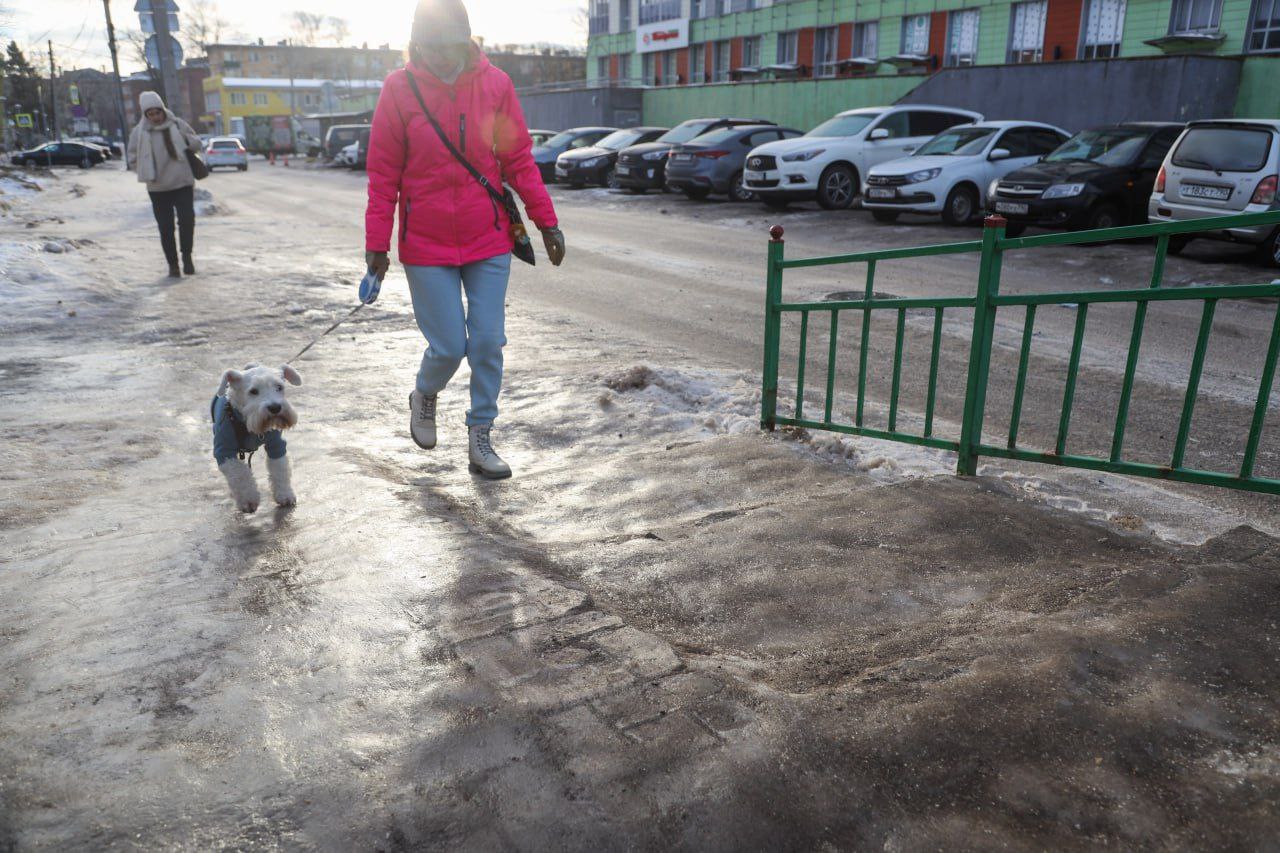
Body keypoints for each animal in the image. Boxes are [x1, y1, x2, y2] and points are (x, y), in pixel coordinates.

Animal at [216, 361, 305, 507]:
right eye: (253, 391)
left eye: (279, 387)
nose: (275, 408)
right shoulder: (224, 452)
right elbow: (239, 474)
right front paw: (248, 500)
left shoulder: (276, 446)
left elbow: (280, 469)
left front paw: (284, 494)